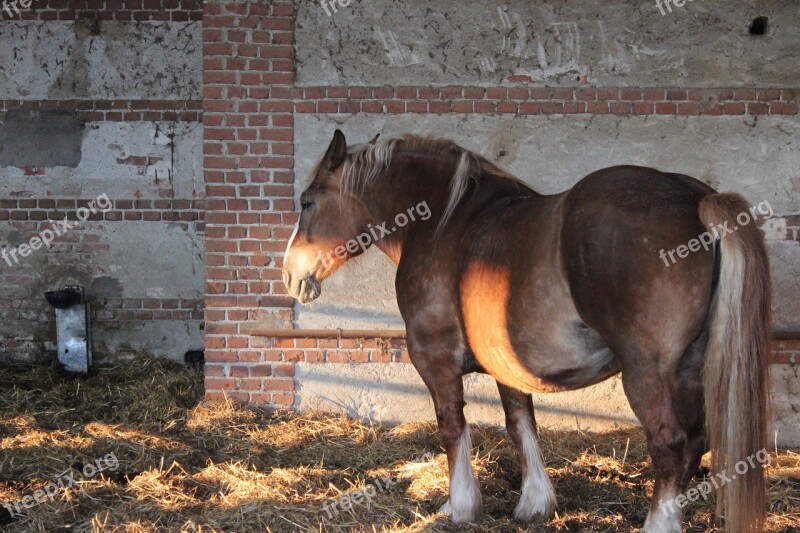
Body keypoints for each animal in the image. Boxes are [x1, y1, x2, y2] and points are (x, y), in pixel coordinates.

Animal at [282, 130, 768, 532]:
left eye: (306, 202)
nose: (289, 275)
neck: (442, 222)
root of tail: (694, 198)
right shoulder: (508, 366)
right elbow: (521, 426)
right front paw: (535, 504)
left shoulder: (435, 362)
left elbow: (452, 428)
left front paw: (459, 507)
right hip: (689, 370)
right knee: (697, 441)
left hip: (647, 373)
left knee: (669, 443)